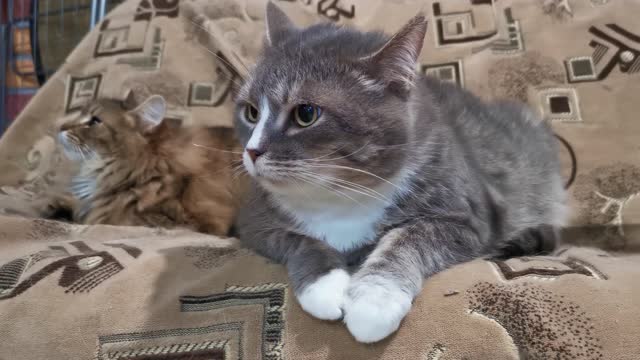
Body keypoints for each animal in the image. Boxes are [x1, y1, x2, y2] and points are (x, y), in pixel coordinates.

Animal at [232, 3, 564, 344]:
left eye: (306, 113)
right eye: (251, 112)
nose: (252, 151)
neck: (342, 193)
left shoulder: (468, 218)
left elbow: (408, 238)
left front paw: (374, 301)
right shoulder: (253, 220)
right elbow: (298, 239)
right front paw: (324, 286)